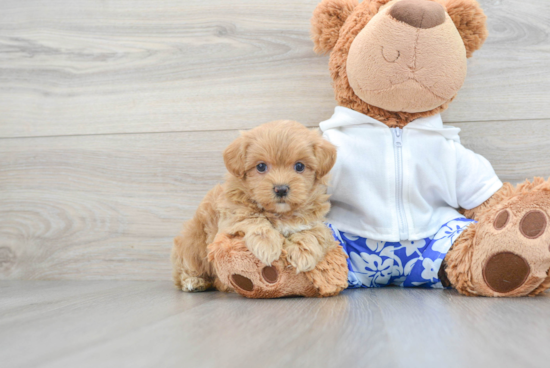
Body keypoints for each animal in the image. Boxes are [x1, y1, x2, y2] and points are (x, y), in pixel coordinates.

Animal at [171, 119, 336, 292]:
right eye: (261, 166)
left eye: (299, 166)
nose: (281, 189)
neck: (279, 213)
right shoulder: (231, 216)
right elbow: (253, 219)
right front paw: (267, 244)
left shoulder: (314, 220)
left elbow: (315, 232)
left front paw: (303, 253)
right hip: (193, 243)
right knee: (187, 267)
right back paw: (194, 281)